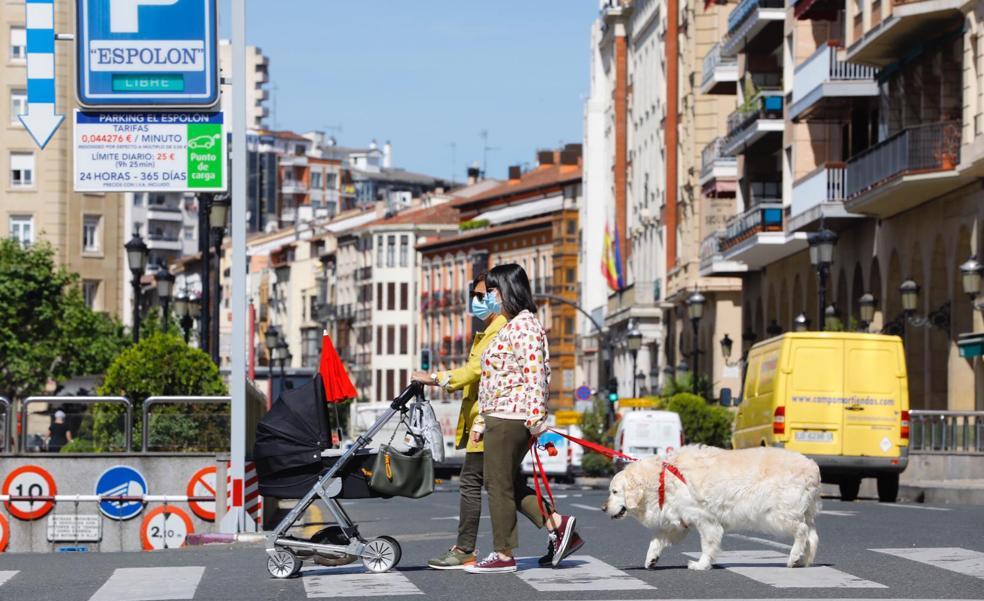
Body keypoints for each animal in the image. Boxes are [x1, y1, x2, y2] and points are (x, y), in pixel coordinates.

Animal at [600, 448, 824, 568]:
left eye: (614, 492)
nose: (602, 508)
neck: (662, 480)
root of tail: (813, 467)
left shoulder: (706, 520)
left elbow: (707, 545)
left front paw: (701, 564)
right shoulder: (678, 522)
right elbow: (657, 538)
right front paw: (651, 558)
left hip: (778, 515)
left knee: (802, 532)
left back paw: (793, 557)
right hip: (802, 514)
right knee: (813, 536)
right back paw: (803, 561)